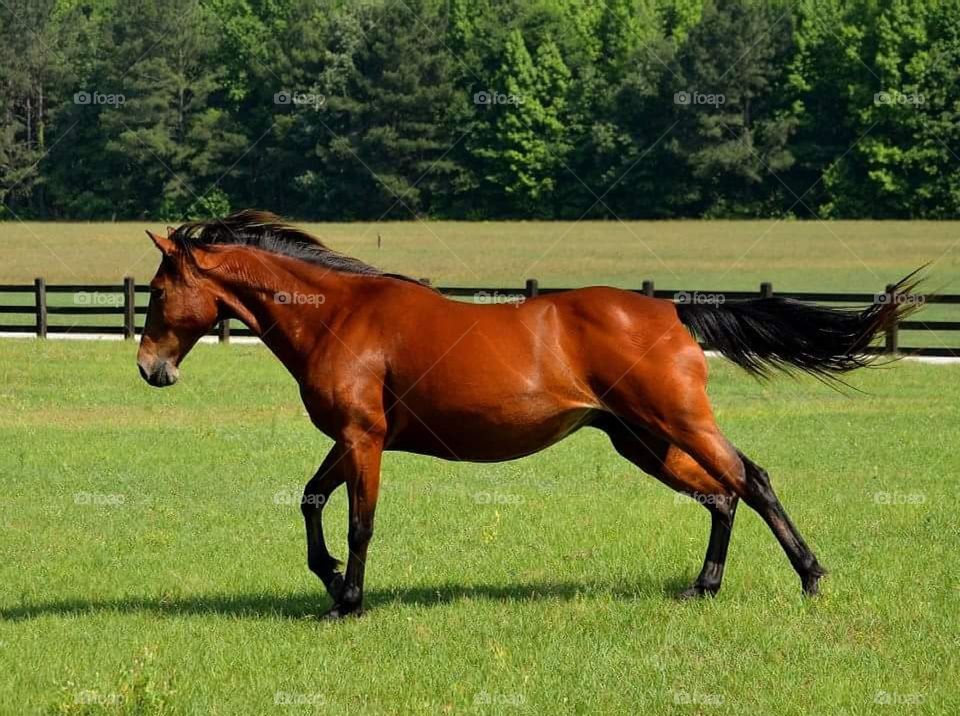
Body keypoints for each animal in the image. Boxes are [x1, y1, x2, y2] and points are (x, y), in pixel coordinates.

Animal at [137, 210, 924, 620]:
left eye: (158, 291)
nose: (150, 368)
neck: (340, 315)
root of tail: (671, 310)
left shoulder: (365, 439)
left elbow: (359, 522)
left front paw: (348, 599)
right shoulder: (355, 439)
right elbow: (310, 501)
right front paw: (329, 579)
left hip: (677, 422)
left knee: (750, 480)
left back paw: (812, 577)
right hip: (641, 440)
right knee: (721, 496)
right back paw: (702, 587)